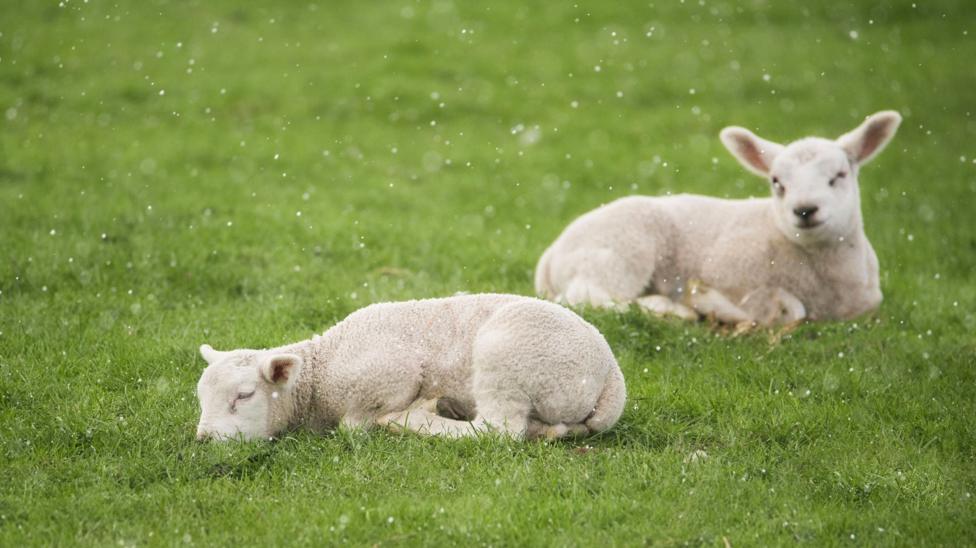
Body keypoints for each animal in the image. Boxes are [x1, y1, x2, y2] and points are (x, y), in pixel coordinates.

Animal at [194, 293, 626, 441]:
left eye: (244, 396)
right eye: (201, 400)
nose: (204, 439)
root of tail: (611, 378)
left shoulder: (393, 374)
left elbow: (354, 426)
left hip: (509, 358)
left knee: (498, 431)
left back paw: (413, 419)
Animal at [534, 111, 902, 326]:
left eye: (839, 175)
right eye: (776, 182)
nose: (805, 210)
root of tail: (550, 255)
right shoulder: (728, 270)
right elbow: (788, 308)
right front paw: (729, 309)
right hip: (619, 250)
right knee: (589, 298)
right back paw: (673, 309)